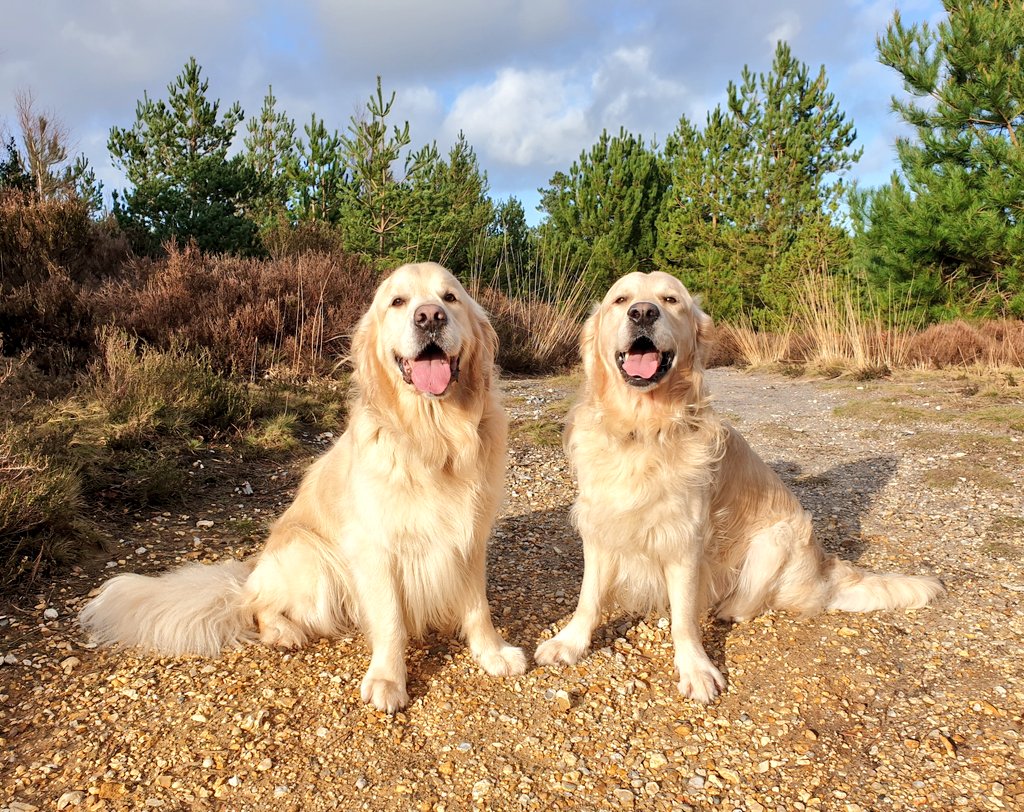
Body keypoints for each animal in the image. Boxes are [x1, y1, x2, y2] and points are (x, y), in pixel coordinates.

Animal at [80, 262, 526, 712]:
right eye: (398, 302)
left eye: (450, 297)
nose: (430, 317)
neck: (433, 437)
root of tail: (251, 571)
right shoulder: (375, 548)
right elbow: (390, 620)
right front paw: (387, 678)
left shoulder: (468, 537)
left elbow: (477, 605)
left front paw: (492, 652)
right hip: (312, 560)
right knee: (258, 606)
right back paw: (283, 631)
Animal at [535, 271, 944, 703]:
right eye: (620, 299)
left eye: (670, 299)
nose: (643, 313)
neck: (643, 429)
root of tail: (824, 573)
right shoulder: (600, 524)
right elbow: (588, 597)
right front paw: (569, 642)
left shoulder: (686, 538)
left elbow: (684, 618)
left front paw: (696, 669)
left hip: (779, 535)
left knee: (756, 599)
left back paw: (730, 607)